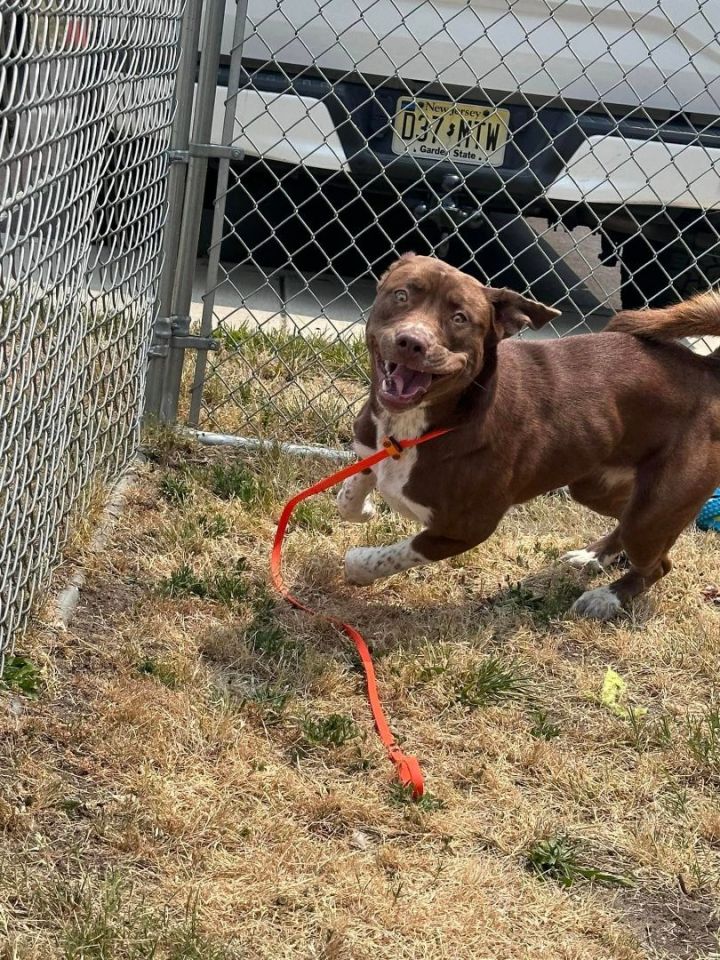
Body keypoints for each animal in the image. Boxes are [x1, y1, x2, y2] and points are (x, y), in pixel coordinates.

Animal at [338, 253, 720, 624]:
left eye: (460, 319)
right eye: (401, 295)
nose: (412, 342)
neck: (422, 426)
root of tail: (707, 368)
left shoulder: (465, 529)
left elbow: (392, 554)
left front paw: (358, 564)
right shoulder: (371, 450)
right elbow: (348, 496)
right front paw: (366, 508)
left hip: (652, 514)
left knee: (658, 563)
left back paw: (606, 598)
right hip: (598, 488)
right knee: (631, 526)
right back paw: (594, 555)